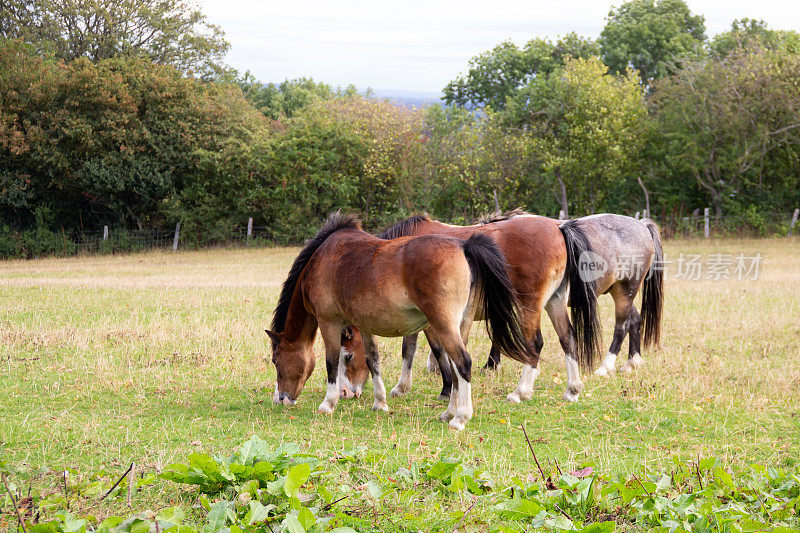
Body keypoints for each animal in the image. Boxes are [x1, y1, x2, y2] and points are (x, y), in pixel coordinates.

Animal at [268, 211, 536, 428]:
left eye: (276, 360)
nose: (281, 398)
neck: (325, 257)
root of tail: (465, 245)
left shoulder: (329, 322)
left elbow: (331, 362)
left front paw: (328, 403)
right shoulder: (364, 325)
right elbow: (373, 360)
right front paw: (380, 402)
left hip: (443, 325)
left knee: (463, 363)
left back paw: (460, 418)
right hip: (460, 326)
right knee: (455, 368)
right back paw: (449, 413)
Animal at [344, 210, 600, 402]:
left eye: (348, 355)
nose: (350, 391)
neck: (393, 258)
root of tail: (558, 228)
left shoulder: (433, 321)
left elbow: (439, 351)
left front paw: (447, 388)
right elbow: (409, 349)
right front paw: (402, 387)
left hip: (530, 306)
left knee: (535, 343)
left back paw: (520, 392)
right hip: (555, 302)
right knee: (568, 337)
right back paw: (572, 389)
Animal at [484, 212, 664, 374]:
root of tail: (642, 225)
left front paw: (492, 364)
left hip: (625, 291)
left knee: (622, 327)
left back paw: (605, 367)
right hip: (619, 292)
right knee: (635, 320)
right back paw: (632, 362)